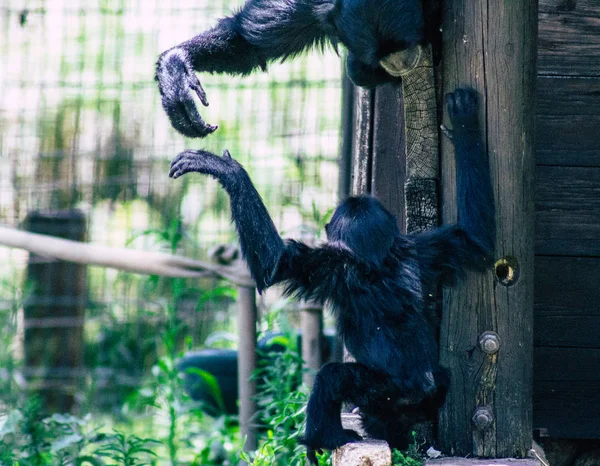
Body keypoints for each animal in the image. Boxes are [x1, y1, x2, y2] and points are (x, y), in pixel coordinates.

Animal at [168, 88, 492, 462]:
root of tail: (421, 384)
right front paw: (466, 120)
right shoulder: (424, 249)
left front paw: (226, 171)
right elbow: (474, 238)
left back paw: (322, 437)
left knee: (332, 377)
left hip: (384, 390)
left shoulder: (332, 266)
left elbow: (276, 264)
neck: (379, 261)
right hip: (427, 390)